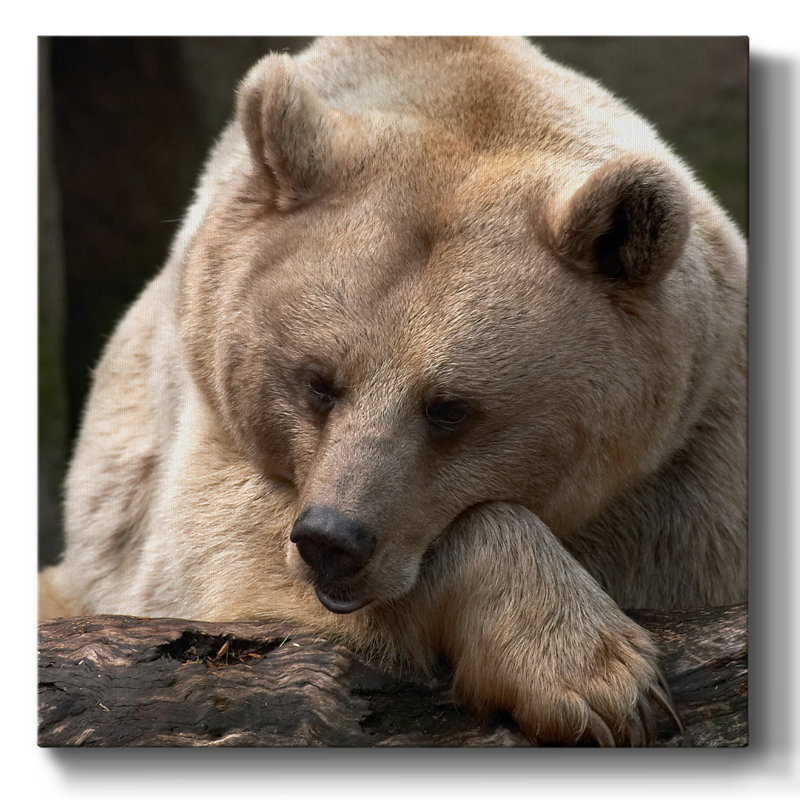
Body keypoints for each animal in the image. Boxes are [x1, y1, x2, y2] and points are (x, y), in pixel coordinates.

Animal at [39, 36, 746, 746]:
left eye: (449, 408)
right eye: (319, 382)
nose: (333, 543)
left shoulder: (691, 476)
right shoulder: (203, 436)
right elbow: (230, 574)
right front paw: (595, 676)